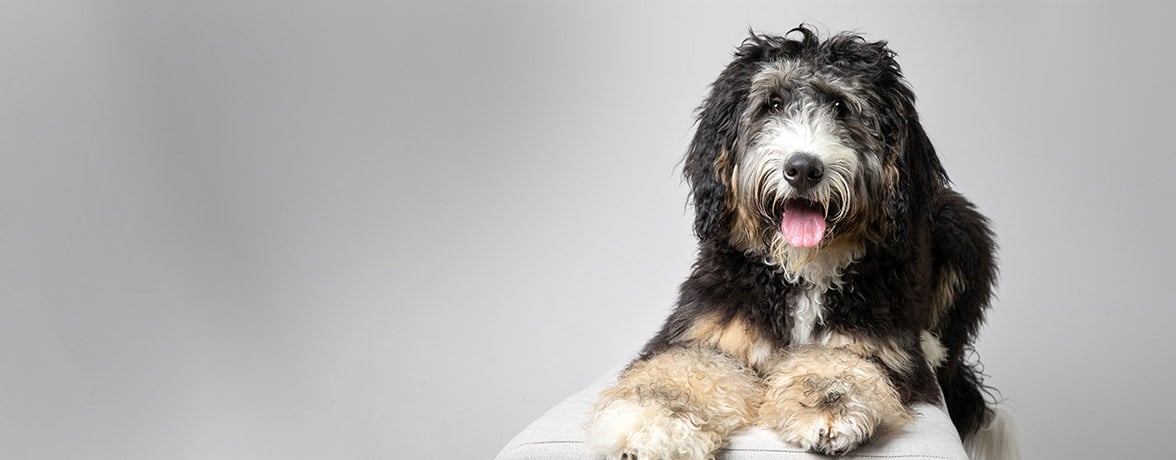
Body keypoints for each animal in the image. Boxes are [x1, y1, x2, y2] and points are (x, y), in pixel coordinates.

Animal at [583, 26, 1016, 460]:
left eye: (841, 107)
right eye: (772, 103)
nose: (804, 169)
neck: (801, 270)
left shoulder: (871, 341)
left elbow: (839, 364)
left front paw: (828, 408)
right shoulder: (708, 329)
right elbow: (683, 369)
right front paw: (651, 424)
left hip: (960, 225)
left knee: (950, 345)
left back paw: (929, 345)